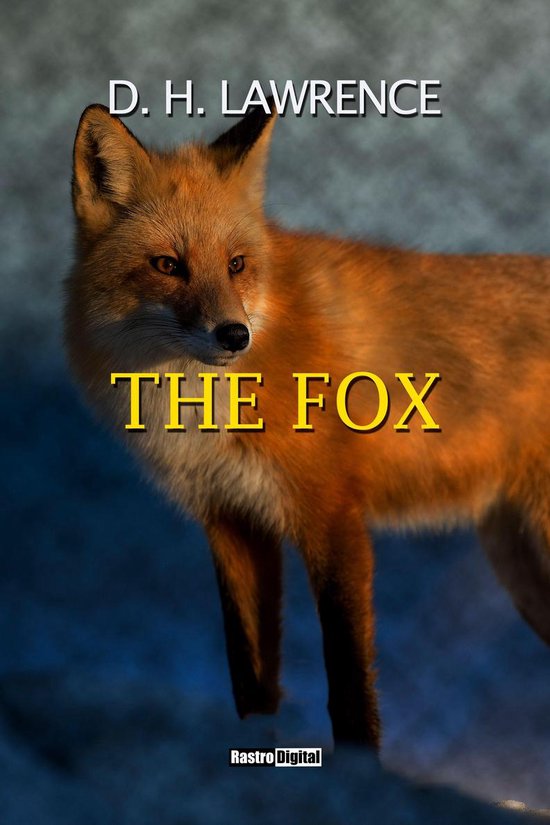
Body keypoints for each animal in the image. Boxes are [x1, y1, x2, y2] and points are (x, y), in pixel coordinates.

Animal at [64, 98, 550, 750]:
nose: (234, 335)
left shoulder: (331, 513)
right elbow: (251, 676)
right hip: (519, 564)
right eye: (168, 265)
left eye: (237, 265)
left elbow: (347, 681)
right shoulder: (234, 523)